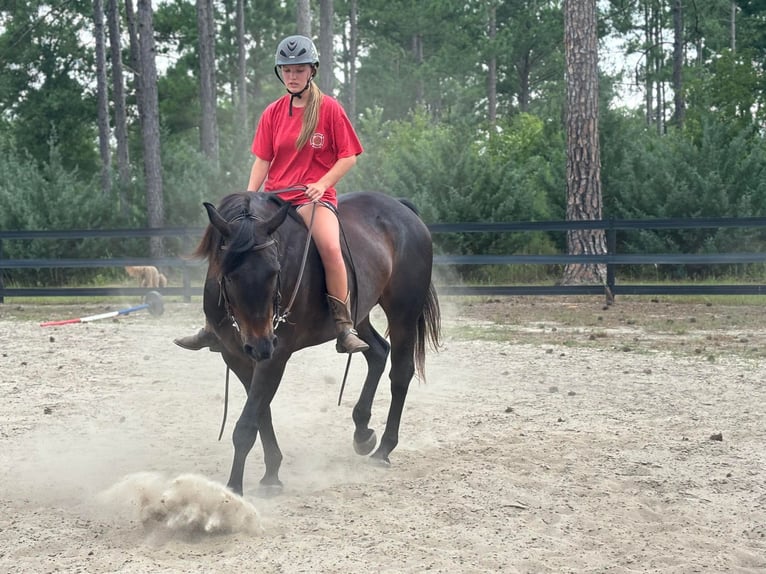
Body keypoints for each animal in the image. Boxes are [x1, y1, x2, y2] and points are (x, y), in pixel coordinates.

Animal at [191, 190, 441, 495]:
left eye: (275, 271)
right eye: (228, 275)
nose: (261, 344)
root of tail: (402, 209)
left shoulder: (275, 357)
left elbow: (248, 424)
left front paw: (234, 489)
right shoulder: (236, 357)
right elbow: (262, 413)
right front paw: (272, 473)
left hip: (403, 313)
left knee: (401, 373)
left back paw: (384, 448)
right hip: (359, 315)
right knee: (378, 352)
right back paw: (362, 432)